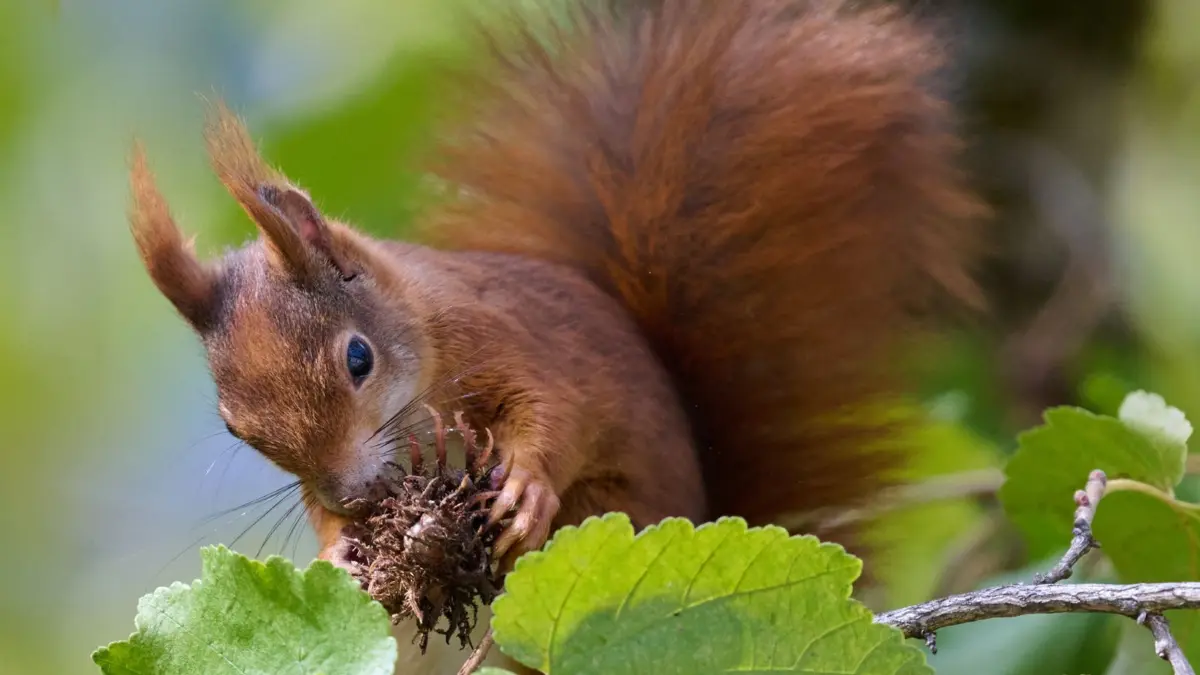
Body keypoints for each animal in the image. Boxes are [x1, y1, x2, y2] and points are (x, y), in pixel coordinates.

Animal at [128, 0, 982, 584]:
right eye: (236, 428)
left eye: (359, 359)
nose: (355, 494)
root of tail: (709, 517)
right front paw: (339, 544)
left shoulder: (511, 339)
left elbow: (555, 412)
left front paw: (526, 485)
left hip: (607, 511)